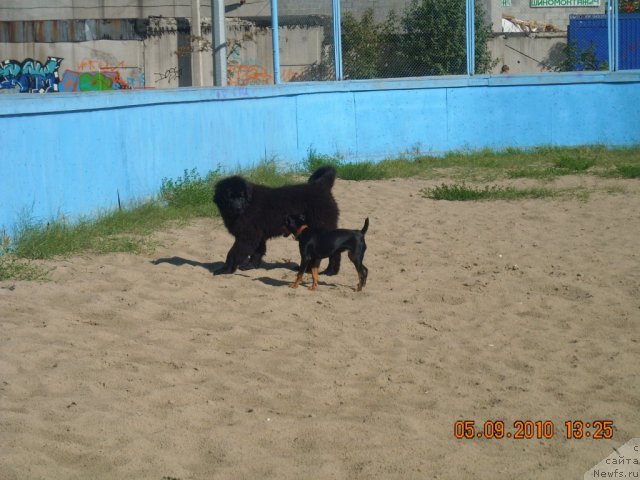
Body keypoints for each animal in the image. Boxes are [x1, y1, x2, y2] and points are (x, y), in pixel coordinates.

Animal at [212, 167, 342, 276]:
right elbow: (257, 251)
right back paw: (325, 271)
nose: (238, 208)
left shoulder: (247, 236)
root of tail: (321, 186)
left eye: (241, 196)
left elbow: (233, 253)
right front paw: (251, 266)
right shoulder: (257, 233)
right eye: (230, 197)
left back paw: (325, 271)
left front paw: (225, 269)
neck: (248, 204)